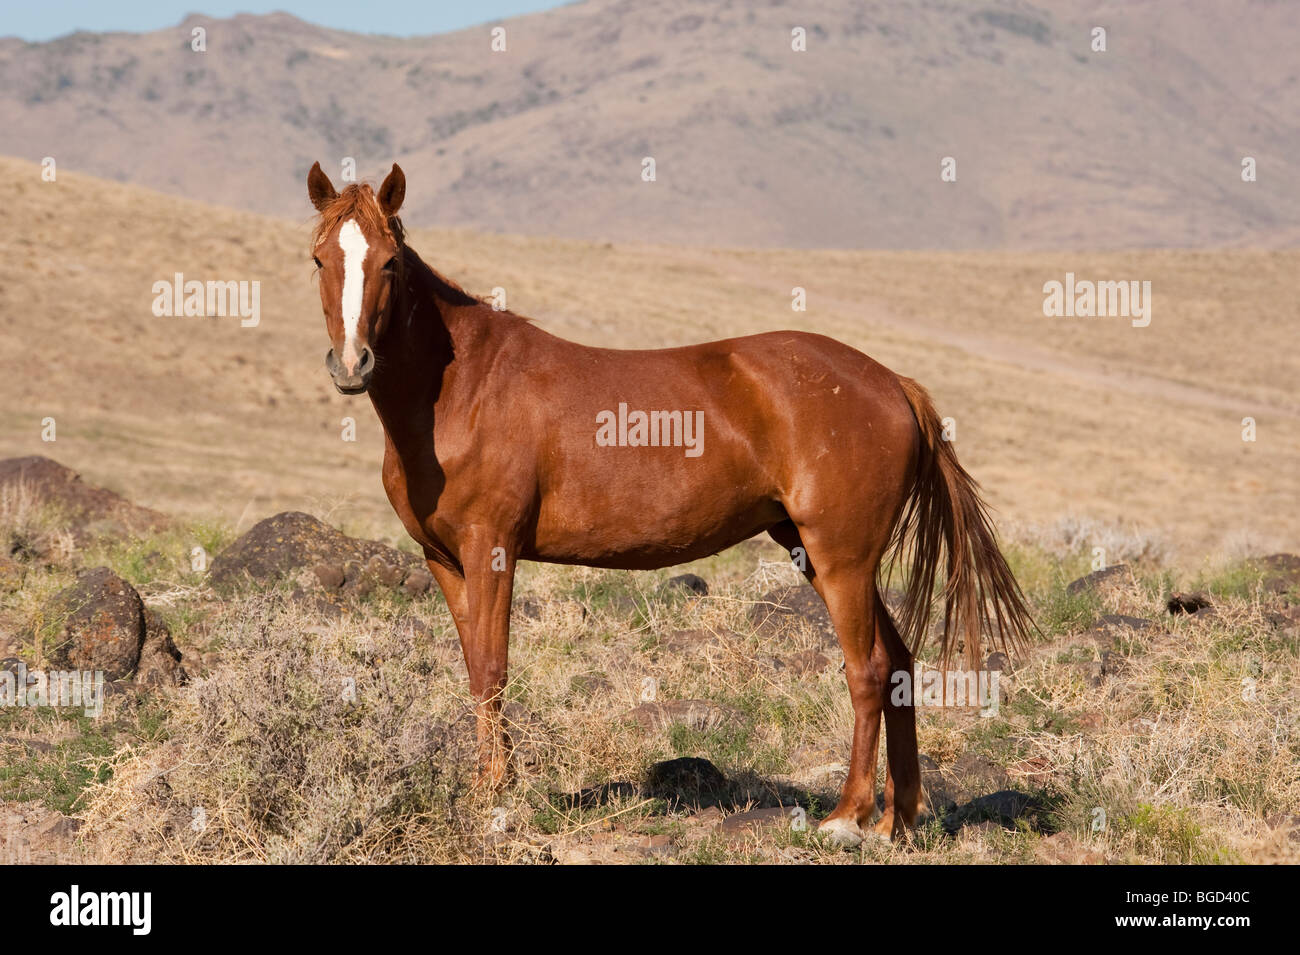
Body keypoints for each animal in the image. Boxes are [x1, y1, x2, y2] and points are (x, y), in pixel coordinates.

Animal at [305, 161, 1034, 846]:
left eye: (389, 261)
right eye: (319, 258)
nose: (352, 363)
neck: (464, 386)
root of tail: (891, 382)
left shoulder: (492, 549)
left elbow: (492, 667)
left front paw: (497, 796)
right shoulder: (444, 559)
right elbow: (476, 670)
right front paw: (488, 785)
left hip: (841, 557)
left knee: (870, 668)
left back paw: (848, 818)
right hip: (816, 551)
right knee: (900, 662)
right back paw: (896, 821)